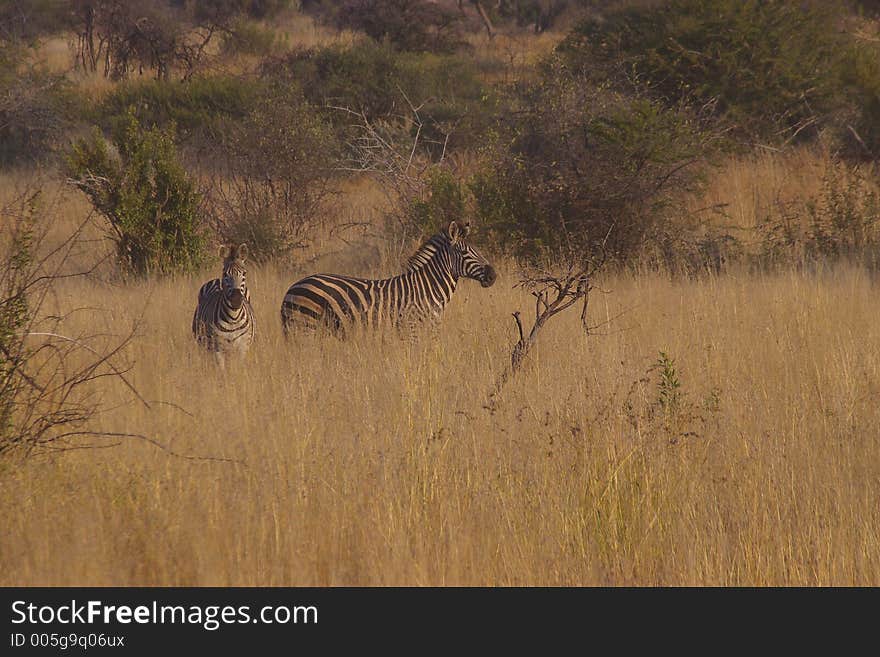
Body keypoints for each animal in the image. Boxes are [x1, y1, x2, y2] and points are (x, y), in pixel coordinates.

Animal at [284, 222, 496, 338]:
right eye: (464, 253)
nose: (493, 276)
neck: (428, 287)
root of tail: (292, 287)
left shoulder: (432, 328)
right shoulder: (412, 328)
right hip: (304, 327)